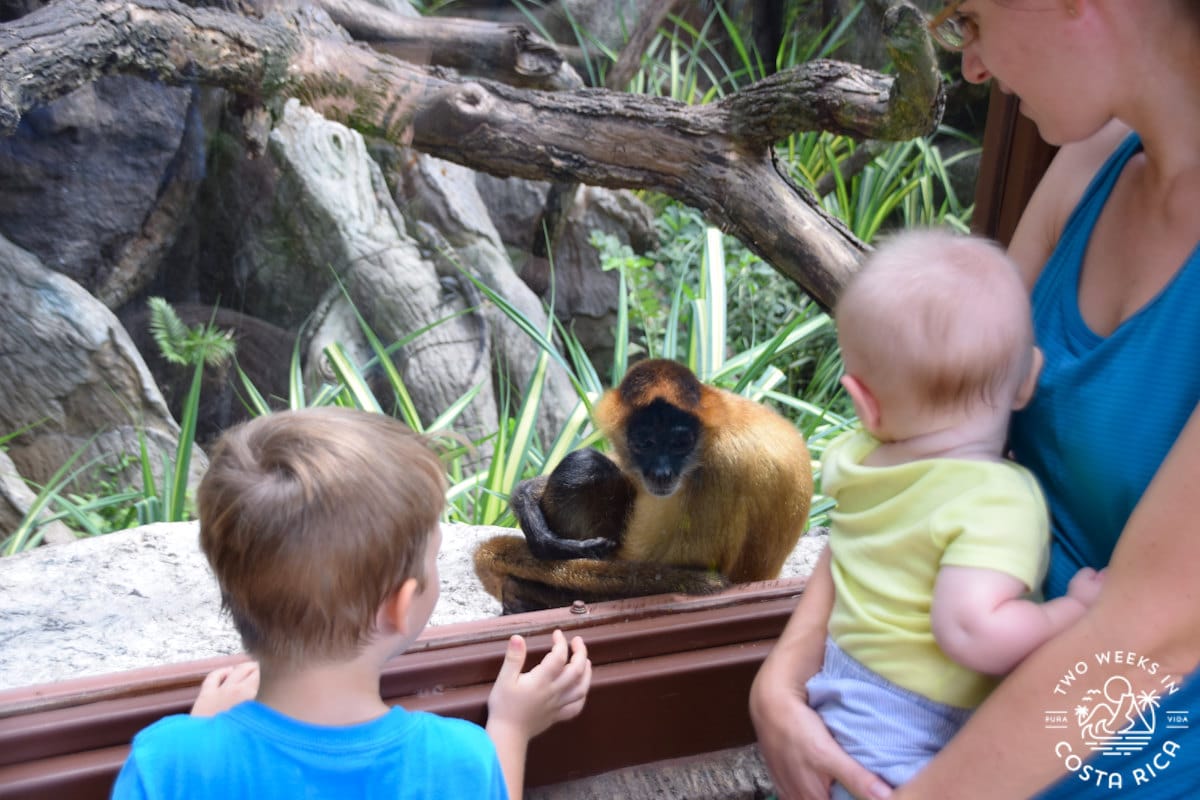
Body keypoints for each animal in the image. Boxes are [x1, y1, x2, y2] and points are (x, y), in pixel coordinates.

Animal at [473, 358, 813, 614]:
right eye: (645, 443)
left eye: (679, 443)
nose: (662, 472)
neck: (718, 429)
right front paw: (527, 501)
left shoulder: (723, 464)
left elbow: (700, 580)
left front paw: (523, 589)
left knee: (583, 465)